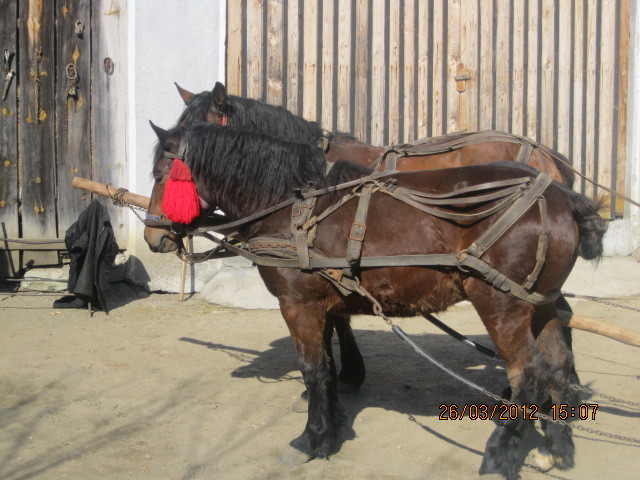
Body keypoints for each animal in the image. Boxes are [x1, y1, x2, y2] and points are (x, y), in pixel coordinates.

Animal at [144, 122, 604, 478]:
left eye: (162, 174)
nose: (152, 235)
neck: (293, 207)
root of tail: (564, 196)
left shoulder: (298, 305)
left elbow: (313, 371)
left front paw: (310, 440)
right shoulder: (322, 303)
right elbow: (326, 366)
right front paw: (331, 424)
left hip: (500, 305)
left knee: (528, 374)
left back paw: (498, 457)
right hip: (540, 304)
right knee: (558, 365)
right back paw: (556, 449)